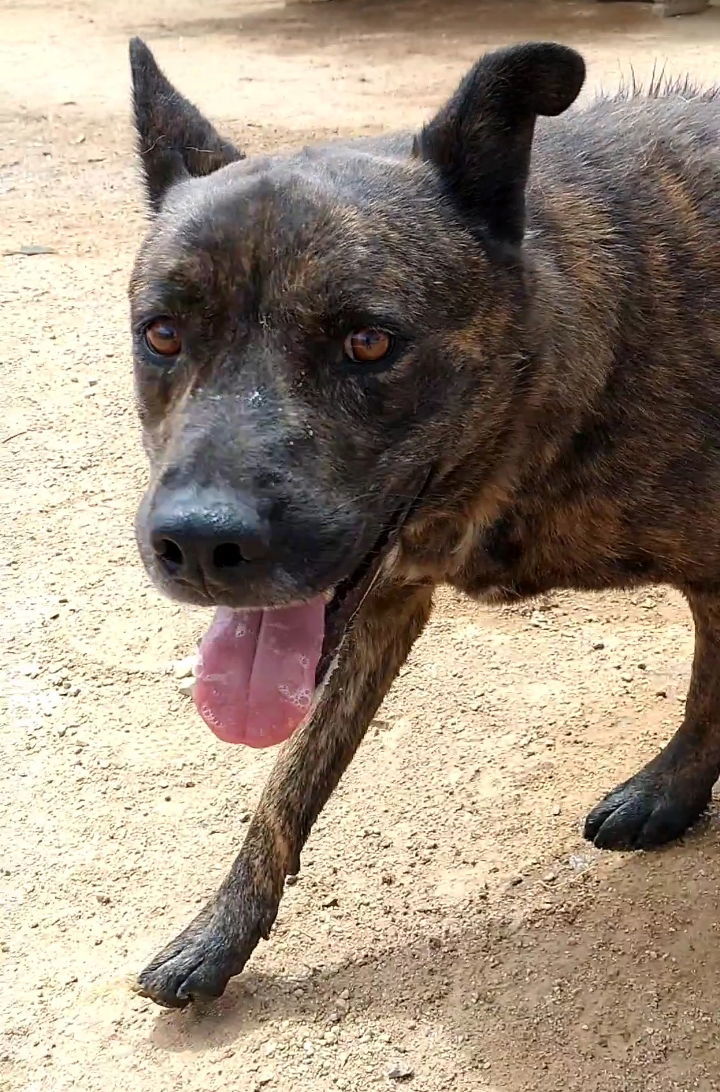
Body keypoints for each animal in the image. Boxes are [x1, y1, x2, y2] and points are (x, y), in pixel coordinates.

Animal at [128, 36, 720, 1004]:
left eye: (369, 342)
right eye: (164, 334)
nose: (202, 544)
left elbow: (710, 685)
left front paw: (672, 789)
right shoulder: (383, 598)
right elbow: (289, 783)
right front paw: (216, 935)